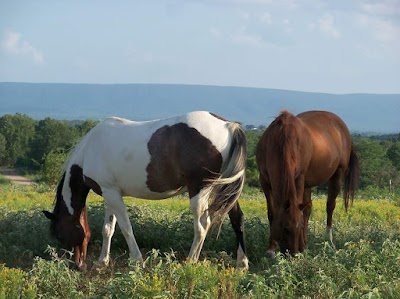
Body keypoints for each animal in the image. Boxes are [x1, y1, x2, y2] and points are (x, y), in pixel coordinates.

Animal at [44, 112, 250, 272]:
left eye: (60, 234)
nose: (77, 265)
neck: (90, 150)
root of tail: (227, 125)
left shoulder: (112, 195)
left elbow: (126, 228)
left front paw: (136, 261)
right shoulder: (110, 193)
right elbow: (108, 229)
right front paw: (103, 262)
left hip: (200, 190)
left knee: (202, 226)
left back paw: (190, 262)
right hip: (224, 188)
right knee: (237, 218)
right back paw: (242, 264)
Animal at [256, 111, 360, 256]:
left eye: (298, 227)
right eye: (285, 228)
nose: (293, 253)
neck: (282, 139)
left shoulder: (299, 179)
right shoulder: (265, 180)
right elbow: (272, 213)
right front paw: (271, 249)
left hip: (338, 175)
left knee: (330, 206)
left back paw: (328, 241)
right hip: (308, 184)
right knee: (307, 209)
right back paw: (306, 243)